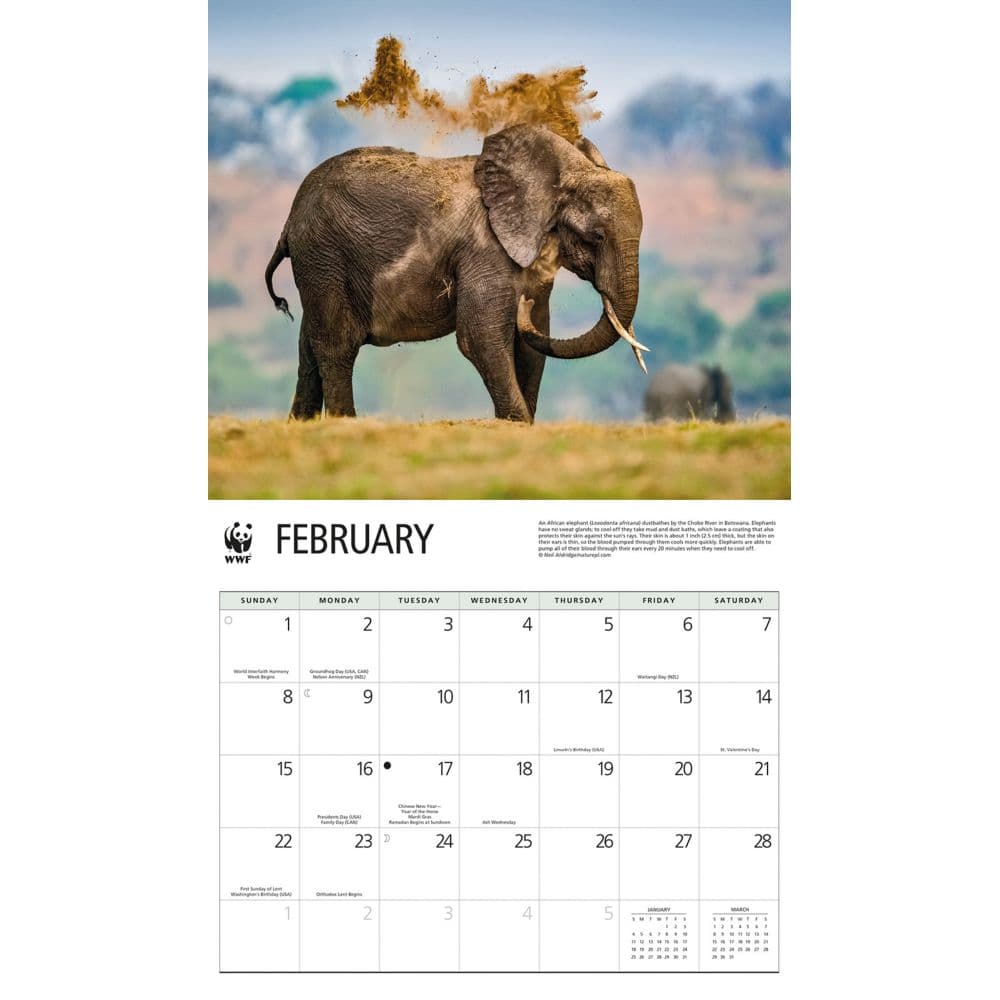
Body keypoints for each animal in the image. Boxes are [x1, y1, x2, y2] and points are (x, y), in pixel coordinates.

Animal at [264, 123, 647, 424]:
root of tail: (289, 222)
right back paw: (344, 424)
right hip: (324, 256)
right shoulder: (484, 249)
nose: (522, 304)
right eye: (596, 236)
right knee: (337, 345)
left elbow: (532, 341)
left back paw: (300, 426)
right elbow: (481, 337)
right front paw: (517, 424)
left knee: (309, 348)